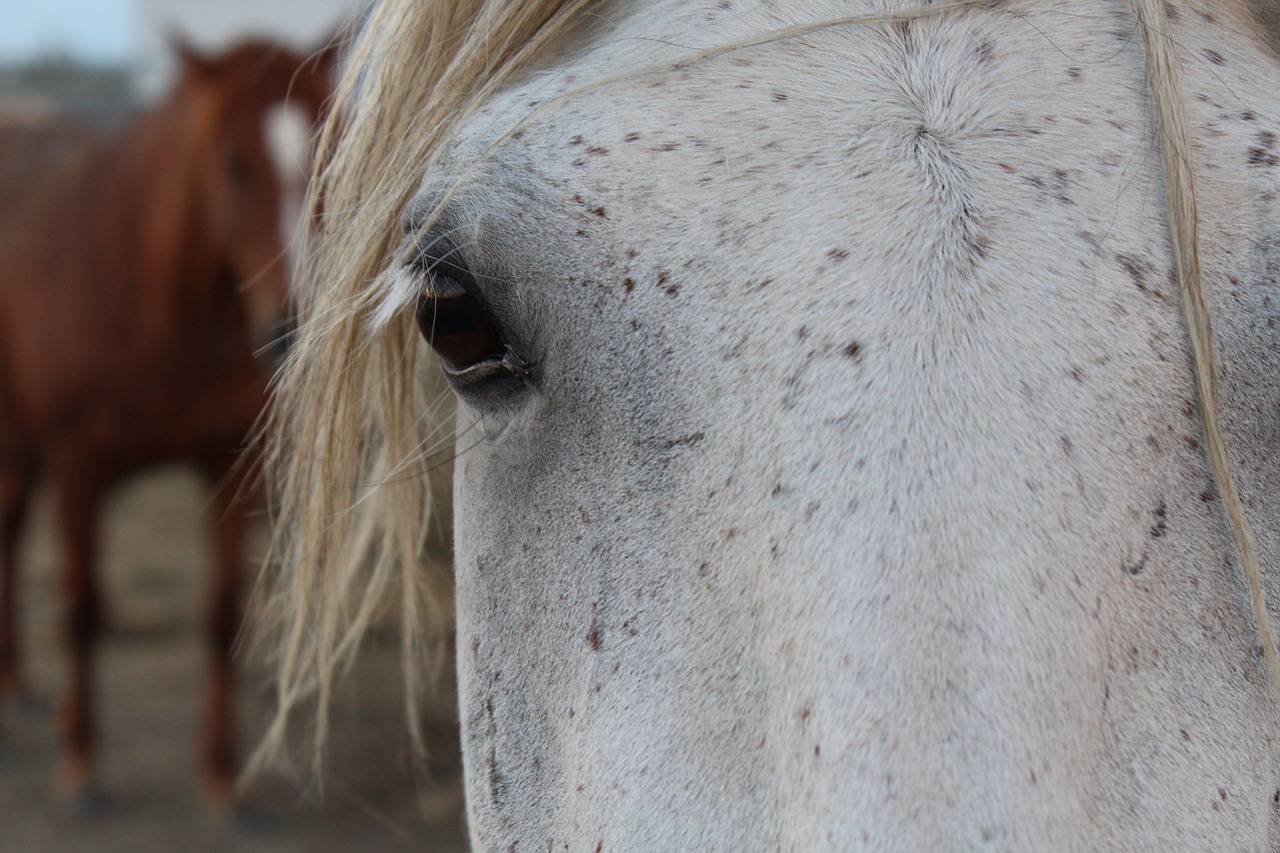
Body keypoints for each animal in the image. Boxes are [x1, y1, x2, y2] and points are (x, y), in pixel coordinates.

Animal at [0, 34, 335, 804]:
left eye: (322, 147)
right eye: (233, 162)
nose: (287, 329)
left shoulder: (229, 466)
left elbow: (220, 617)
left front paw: (221, 777)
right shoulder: (79, 469)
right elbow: (81, 611)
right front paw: (81, 762)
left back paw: (20, 688)